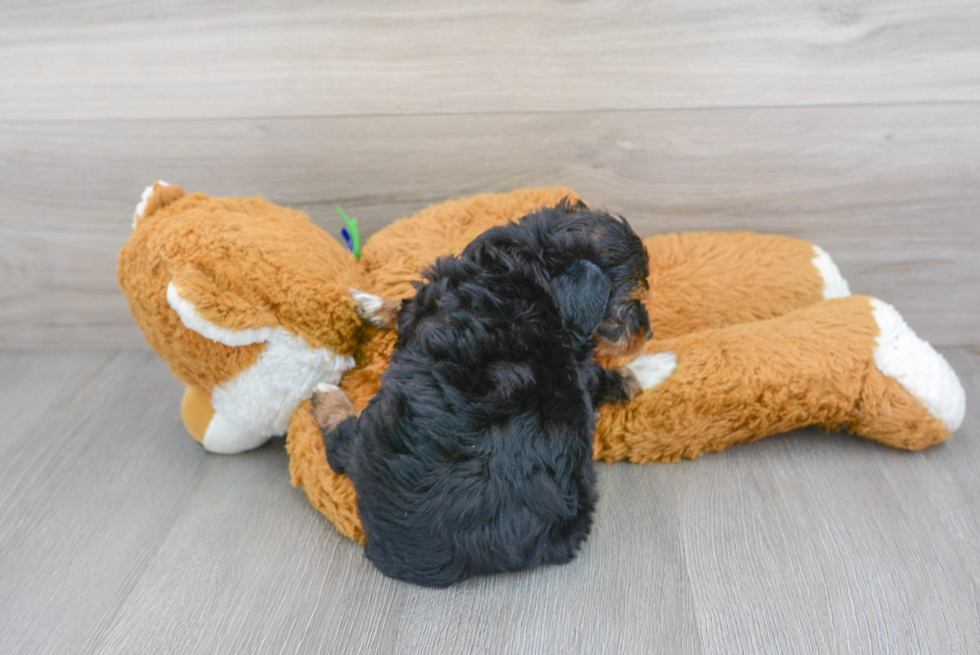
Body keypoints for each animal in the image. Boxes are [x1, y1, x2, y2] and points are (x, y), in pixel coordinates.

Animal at [316, 201, 652, 588]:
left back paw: (325, 395)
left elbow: (404, 308)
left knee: (342, 447)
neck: (530, 275)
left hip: (377, 429)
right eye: (626, 311)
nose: (648, 333)